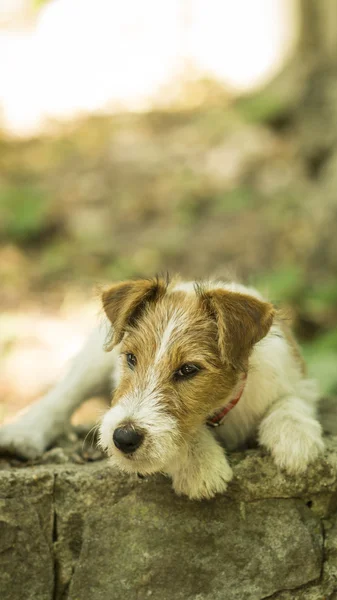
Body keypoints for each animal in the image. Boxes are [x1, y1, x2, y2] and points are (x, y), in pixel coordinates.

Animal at [0, 278, 322, 502]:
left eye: (188, 370)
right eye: (131, 358)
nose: (124, 438)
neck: (224, 411)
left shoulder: (298, 379)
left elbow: (290, 401)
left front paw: (295, 439)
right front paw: (200, 464)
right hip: (93, 357)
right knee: (62, 395)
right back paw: (23, 434)